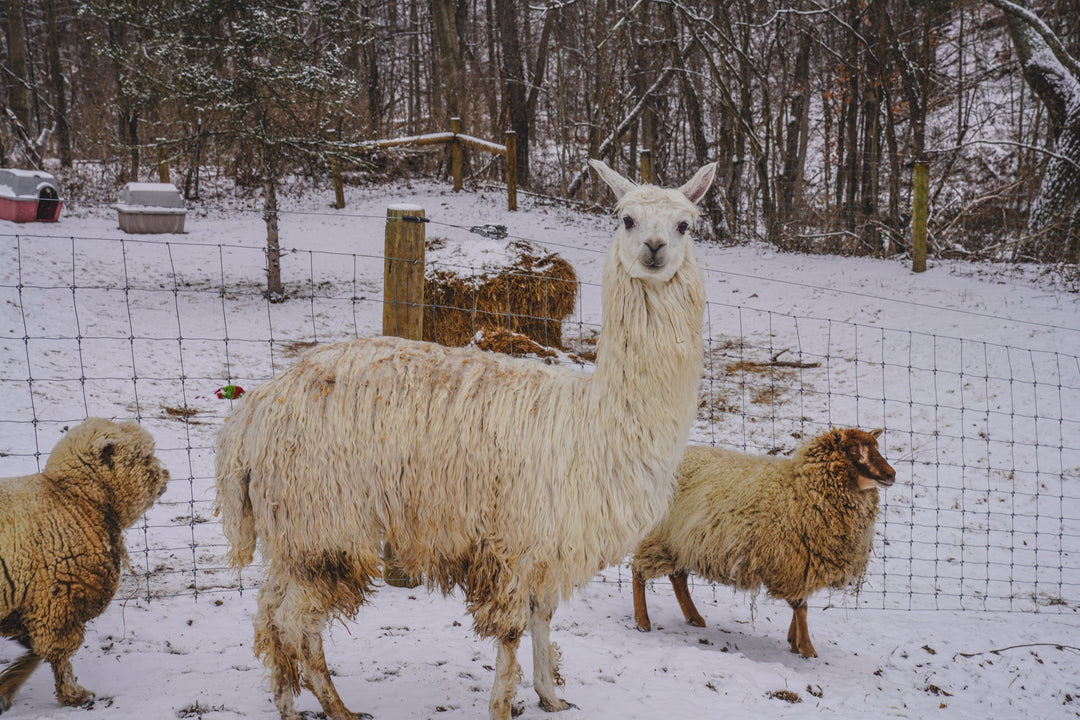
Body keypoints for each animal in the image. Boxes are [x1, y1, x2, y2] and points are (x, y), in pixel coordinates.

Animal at [0, 418, 168, 712]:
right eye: (143, 457)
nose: (166, 475)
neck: (73, 499)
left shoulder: (37, 603)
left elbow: (37, 650)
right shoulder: (58, 600)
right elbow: (56, 655)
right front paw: (73, 694)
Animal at [630, 427, 894, 660]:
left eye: (876, 446)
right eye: (853, 450)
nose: (891, 474)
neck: (802, 490)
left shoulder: (803, 564)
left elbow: (801, 603)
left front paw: (794, 641)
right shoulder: (788, 561)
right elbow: (801, 606)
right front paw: (807, 648)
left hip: (681, 542)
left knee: (678, 577)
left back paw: (694, 617)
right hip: (659, 535)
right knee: (639, 572)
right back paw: (643, 621)